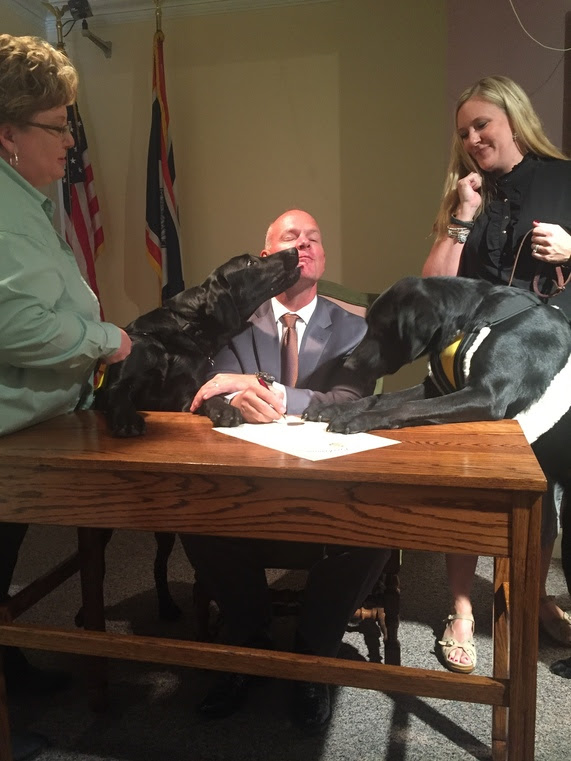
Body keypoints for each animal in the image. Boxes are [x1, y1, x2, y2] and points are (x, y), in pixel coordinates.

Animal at [87, 246, 300, 620]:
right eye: (250, 262)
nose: (293, 250)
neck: (186, 331)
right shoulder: (120, 383)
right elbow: (119, 394)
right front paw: (128, 419)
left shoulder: (187, 395)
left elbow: (209, 395)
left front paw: (225, 408)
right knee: (97, 565)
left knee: (158, 565)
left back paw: (167, 605)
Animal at [308, 274, 571, 600]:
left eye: (381, 328)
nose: (348, 364)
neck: (476, 315)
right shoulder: (437, 387)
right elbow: (381, 398)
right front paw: (332, 408)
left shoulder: (486, 395)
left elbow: (405, 407)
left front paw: (356, 419)